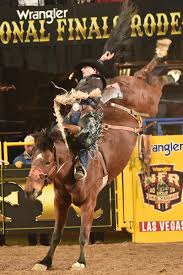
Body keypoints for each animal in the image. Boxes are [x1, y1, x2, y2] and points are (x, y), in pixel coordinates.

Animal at [24, 54, 179, 272]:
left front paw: (80, 262)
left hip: (149, 101)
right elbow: (56, 235)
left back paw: (171, 71)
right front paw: (45, 262)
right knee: (144, 74)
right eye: (31, 159)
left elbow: (83, 235)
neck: (71, 168)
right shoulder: (60, 202)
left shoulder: (89, 202)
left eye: (47, 161)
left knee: (155, 82)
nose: (30, 189)